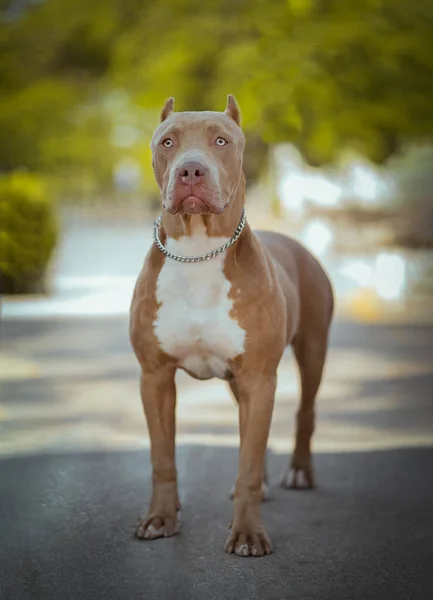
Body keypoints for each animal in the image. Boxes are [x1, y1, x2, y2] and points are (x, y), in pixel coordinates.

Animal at [129, 95, 334, 556]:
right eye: (167, 142)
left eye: (221, 141)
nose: (191, 170)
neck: (198, 251)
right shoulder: (155, 376)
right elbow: (162, 458)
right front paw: (161, 519)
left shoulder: (259, 376)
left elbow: (247, 464)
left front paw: (247, 533)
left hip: (312, 349)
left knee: (304, 412)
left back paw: (298, 472)